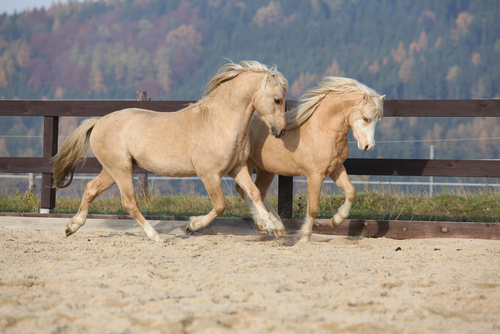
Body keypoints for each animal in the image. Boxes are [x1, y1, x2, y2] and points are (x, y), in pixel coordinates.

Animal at [52, 60, 288, 243]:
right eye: (277, 99)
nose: (281, 131)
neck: (220, 122)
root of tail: (98, 122)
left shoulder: (237, 168)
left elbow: (254, 192)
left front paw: (268, 224)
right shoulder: (209, 175)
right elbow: (221, 205)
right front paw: (192, 225)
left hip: (113, 171)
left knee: (90, 189)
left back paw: (71, 227)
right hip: (121, 170)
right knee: (129, 203)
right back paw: (156, 237)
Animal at [236, 76, 384, 243]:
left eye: (377, 120)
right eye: (366, 118)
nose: (368, 146)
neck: (323, 130)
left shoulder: (336, 169)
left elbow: (351, 191)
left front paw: (336, 220)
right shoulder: (315, 176)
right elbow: (313, 209)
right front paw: (304, 236)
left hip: (266, 170)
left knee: (259, 192)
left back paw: (277, 227)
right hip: (247, 165)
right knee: (245, 191)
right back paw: (265, 224)